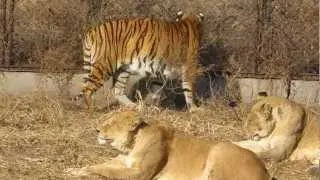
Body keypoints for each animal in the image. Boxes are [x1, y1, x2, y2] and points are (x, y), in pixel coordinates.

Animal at [76, 10, 204, 111]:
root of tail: (92, 31)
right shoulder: (190, 66)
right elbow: (189, 89)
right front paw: (194, 108)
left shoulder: (159, 70)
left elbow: (156, 89)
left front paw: (155, 107)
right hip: (104, 66)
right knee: (87, 88)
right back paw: (91, 109)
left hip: (123, 69)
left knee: (117, 91)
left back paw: (135, 106)